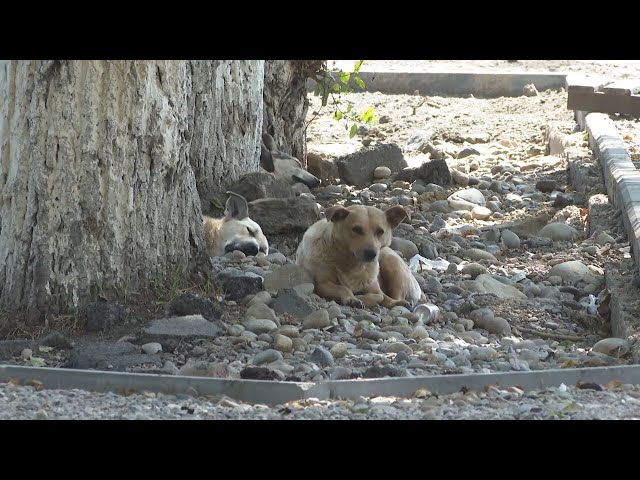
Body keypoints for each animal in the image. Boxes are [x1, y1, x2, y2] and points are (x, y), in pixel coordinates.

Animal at [296, 204, 424, 310]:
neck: (353, 265)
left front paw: (360, 298)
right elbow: (343, 288)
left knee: (395, 297)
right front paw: (352, 298)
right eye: (356, 229)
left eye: (380, 231)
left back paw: (400, 303)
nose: (371, 253)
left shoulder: (374, 287)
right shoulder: (322, 283)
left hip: (391, 263)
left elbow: (380, 296)